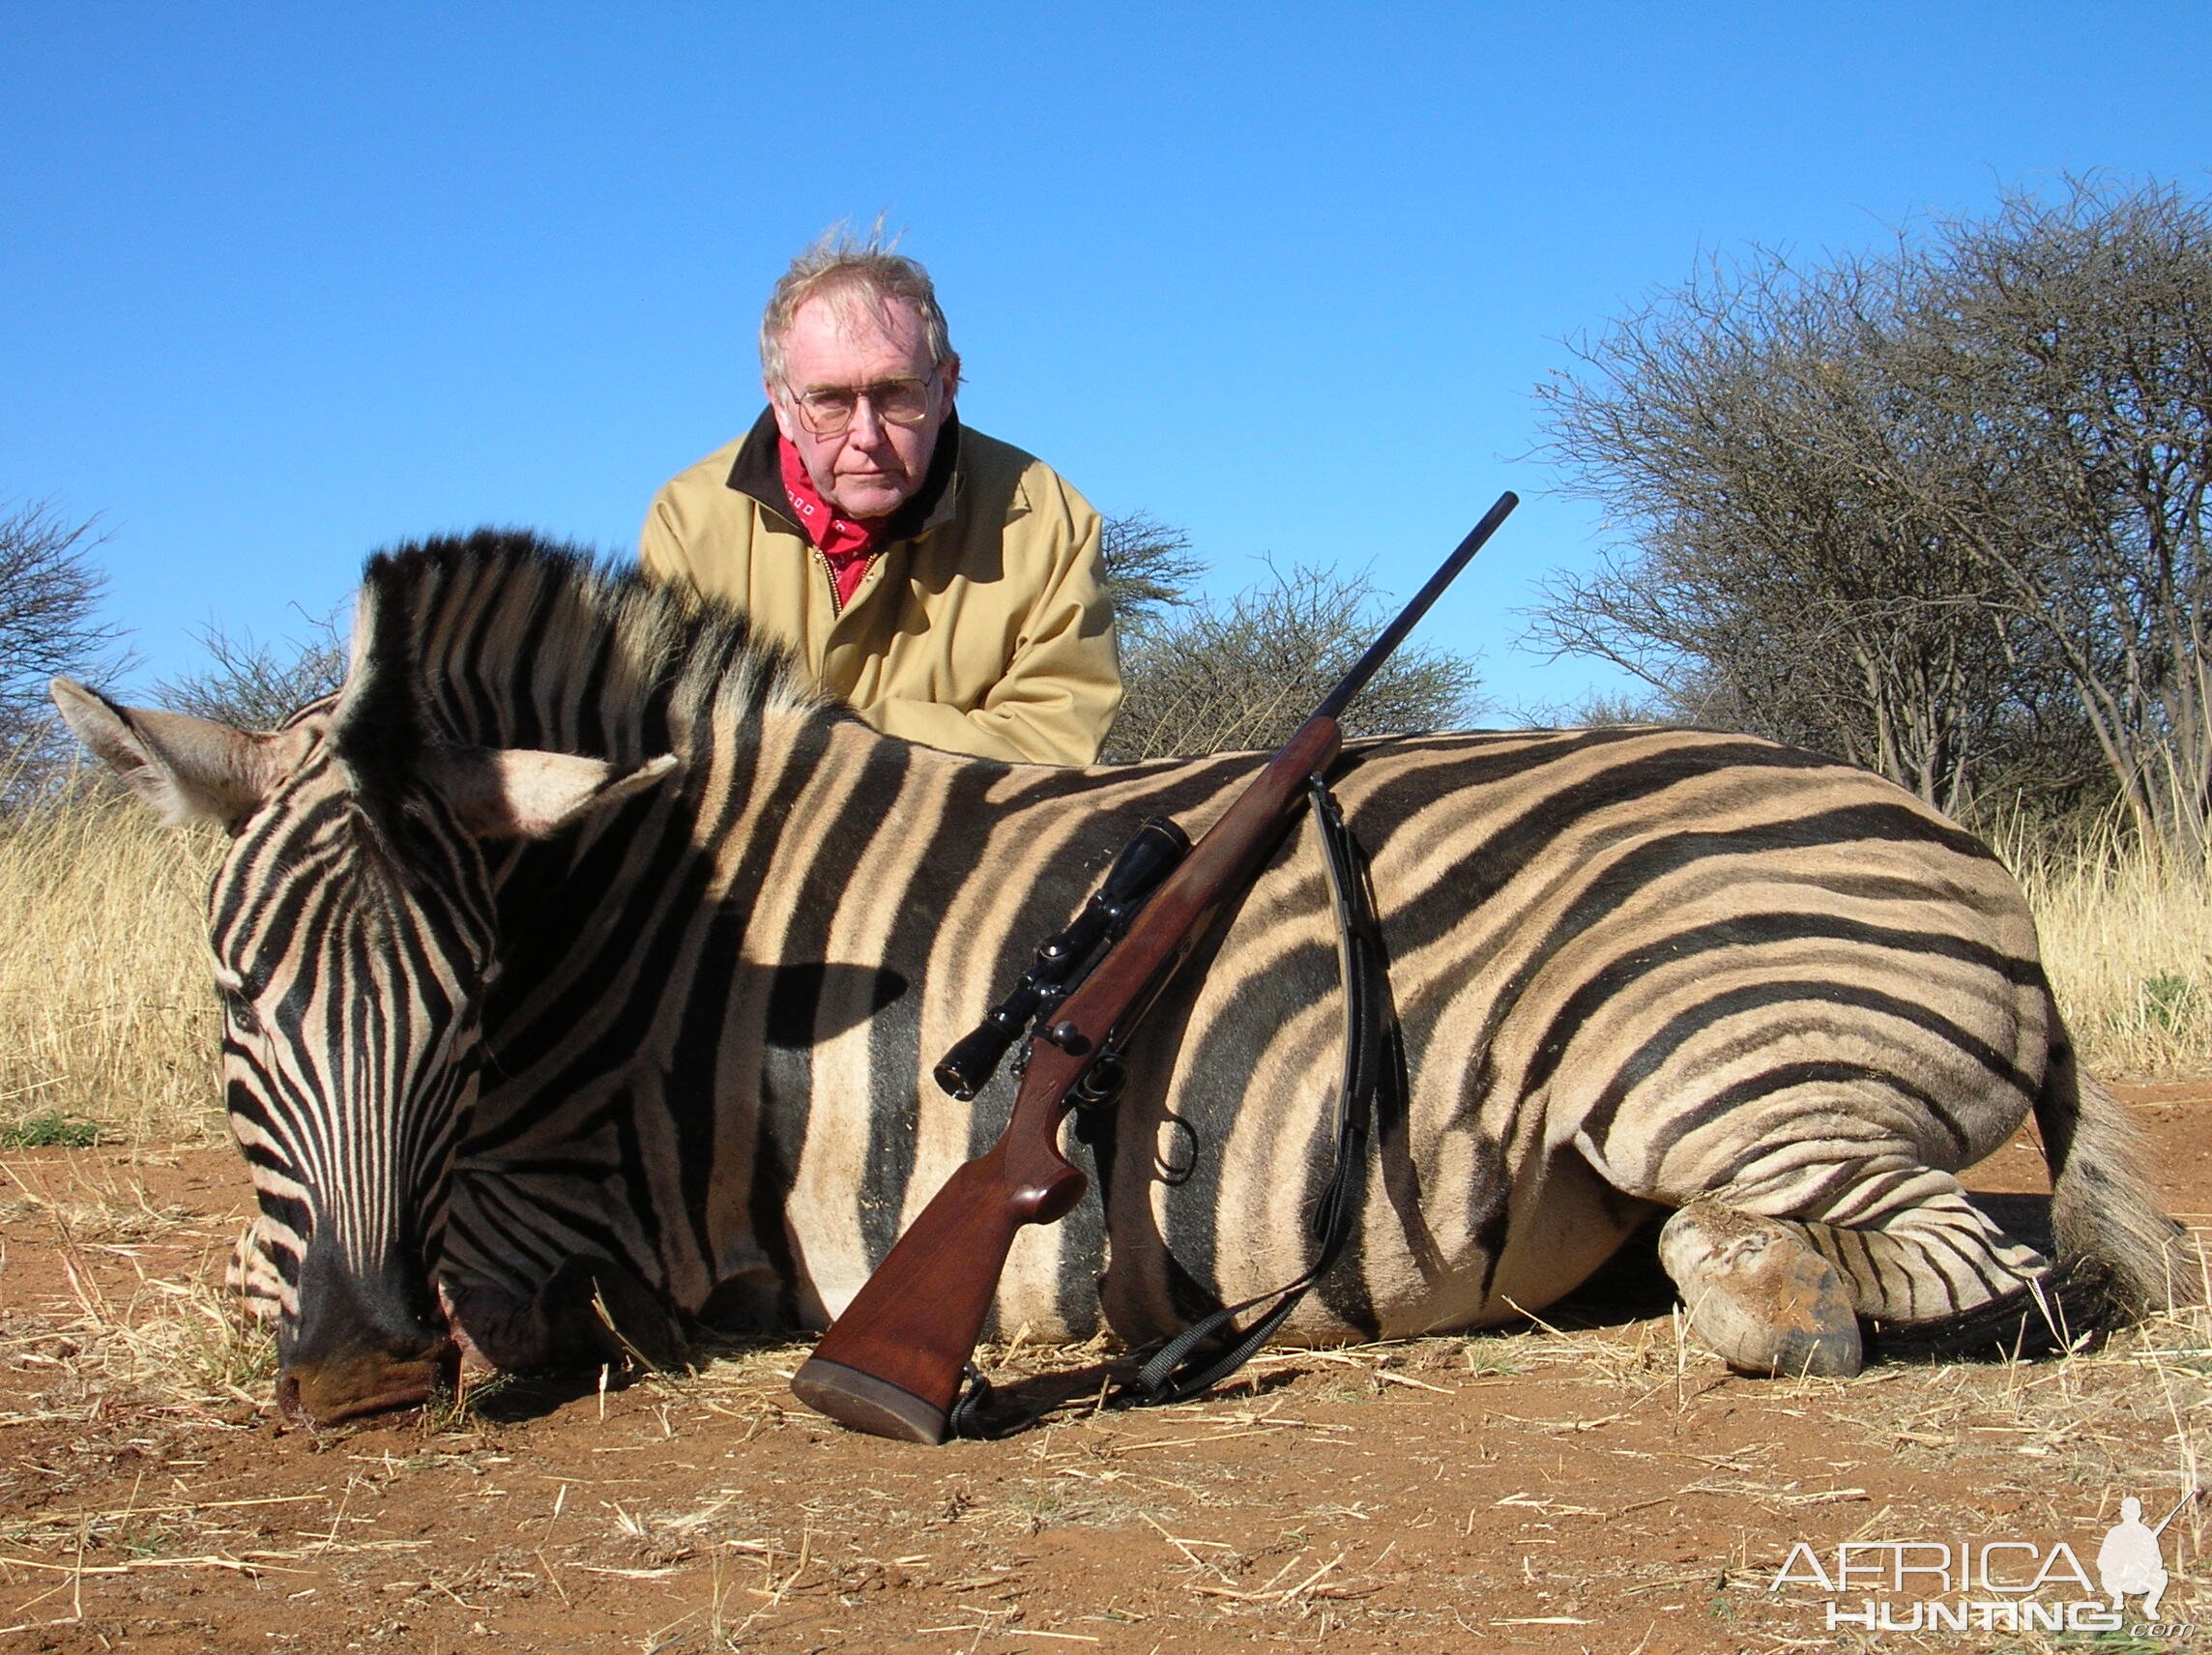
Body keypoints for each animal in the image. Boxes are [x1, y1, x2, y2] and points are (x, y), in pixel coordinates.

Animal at [51, 531, 2194, 1424]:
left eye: (464, 1002)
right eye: (232, 1002)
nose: (357, 1366)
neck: (646, 899)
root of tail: (1969, 859)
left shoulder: (534, 1195)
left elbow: (300, 1270)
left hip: (1700, 1058)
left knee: (1937, 1273)